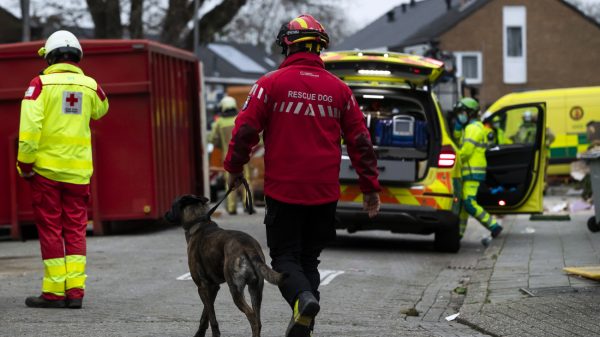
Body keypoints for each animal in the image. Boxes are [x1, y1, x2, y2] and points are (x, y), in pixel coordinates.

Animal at [164, 189, 286, 336]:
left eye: (172, 205)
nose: (165, 214)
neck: (198, 222)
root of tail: (248, 247)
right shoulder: (213, 287)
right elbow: (205, 315)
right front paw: (200, 333)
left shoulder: (202, 287)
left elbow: (211, 317)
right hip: (256, 290)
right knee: (258, 319)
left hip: (236, 290)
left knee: (252, 316)